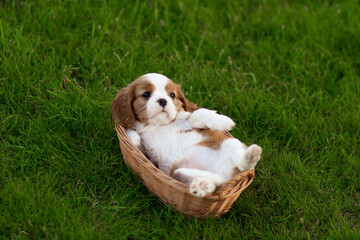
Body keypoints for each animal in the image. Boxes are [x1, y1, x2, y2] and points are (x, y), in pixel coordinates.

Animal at [110, 73, 262, 197]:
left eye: (172, 95)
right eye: (146, 94)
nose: (163, 100)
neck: (157, 125)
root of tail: (226, 175)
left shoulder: (184, 119)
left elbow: (197, 114)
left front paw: (222, 121)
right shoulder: (146, 152)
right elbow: (132, 132)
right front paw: (134, 138)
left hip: (230, 143)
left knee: (243, 165)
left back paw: (251, 155)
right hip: (179, 173)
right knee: (215, 183)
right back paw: (202, 186)